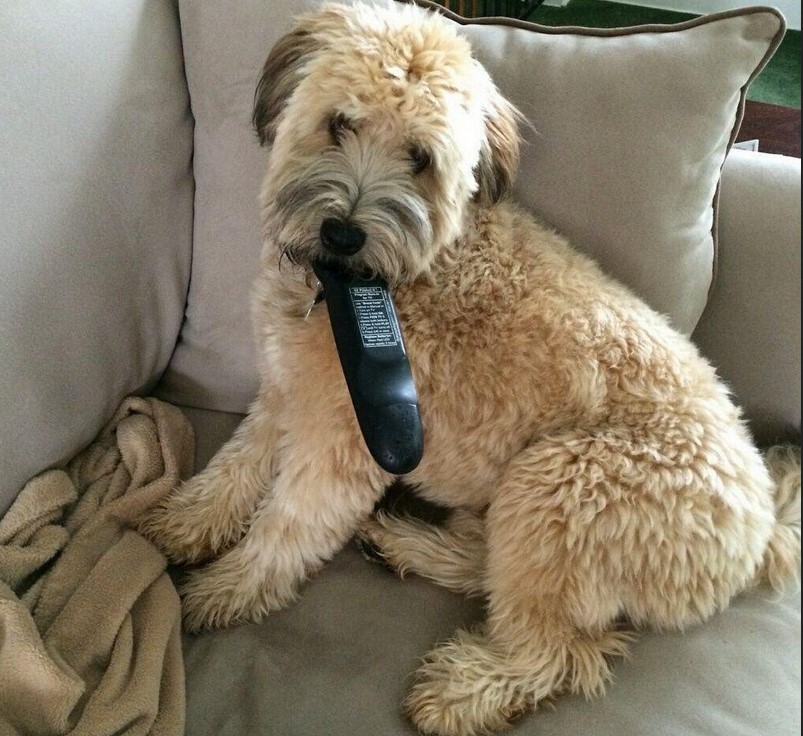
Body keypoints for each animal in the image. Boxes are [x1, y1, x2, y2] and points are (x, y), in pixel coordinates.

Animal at [141, 2, 800, 732]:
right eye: (340, 122)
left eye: (420, 159)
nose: (342, 233)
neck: (360, 289)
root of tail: (761, 530)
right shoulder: (286, 391)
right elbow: (237, 463)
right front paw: (188, 521)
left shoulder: (344, 444)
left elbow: (284, 528)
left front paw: (223, 590)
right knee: (493, 575)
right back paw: (408, 546)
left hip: (559, 484)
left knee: (556, 650)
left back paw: (459, 691)